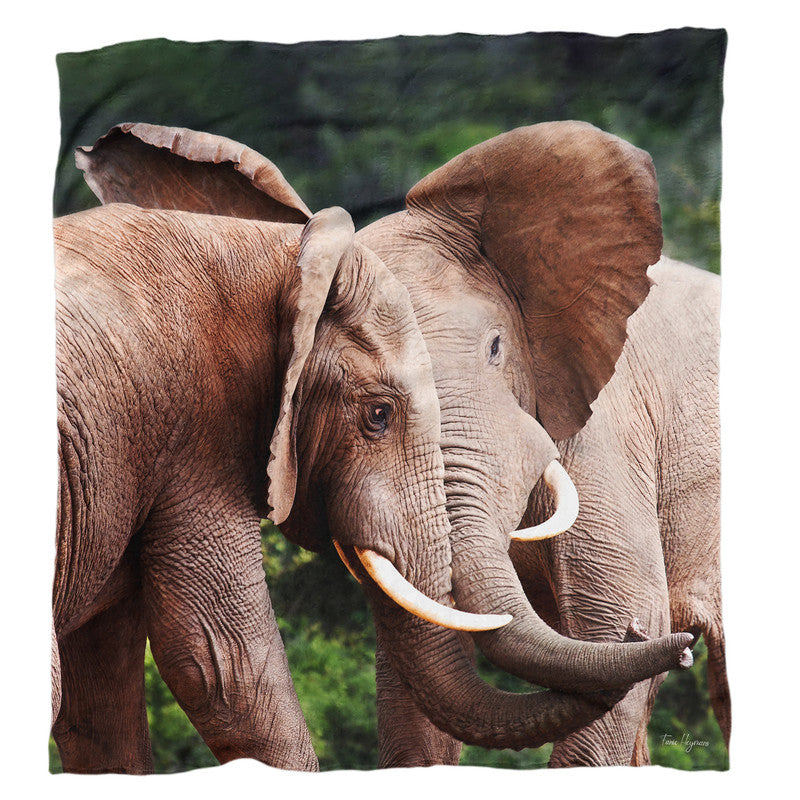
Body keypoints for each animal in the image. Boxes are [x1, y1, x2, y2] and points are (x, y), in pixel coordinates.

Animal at [58, 122, 698, 772]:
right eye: (378, 416)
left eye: (497, 348)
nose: (674, 646)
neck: (287, 258)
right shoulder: (196, 429)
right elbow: (223, 663)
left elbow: (614, 602)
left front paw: (631, 627)